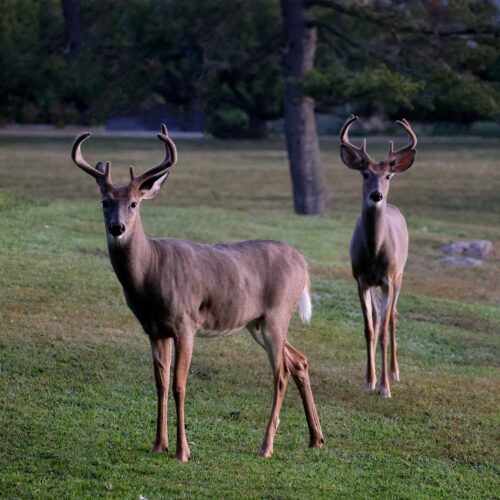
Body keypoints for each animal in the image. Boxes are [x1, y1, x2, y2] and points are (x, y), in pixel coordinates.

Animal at [70, 124, 324, 460]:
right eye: (104, 202)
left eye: (134, 203)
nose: (117, 228)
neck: (151, 270)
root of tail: (304, 263)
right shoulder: (154, 330)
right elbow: (160, 383)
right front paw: (158, 444)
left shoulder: (185, 322)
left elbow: (180, 385)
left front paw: (182, 451)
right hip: (256, 323)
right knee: (299, 360)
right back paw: (316, 438)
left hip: (277, 314)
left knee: (281, 372)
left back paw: (266, 446)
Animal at [340, 114, 418, 398]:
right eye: (365, 173)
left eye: (388, 176)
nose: (377, 195)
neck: (374, 252)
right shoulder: (361, 279)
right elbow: (369, 329)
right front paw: (370, 379)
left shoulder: (388, 279)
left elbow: (383, 331)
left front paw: (385, 387)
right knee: (376, 318)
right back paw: (371, 374)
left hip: (401, 275)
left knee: (392, 316)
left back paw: (394, 372)